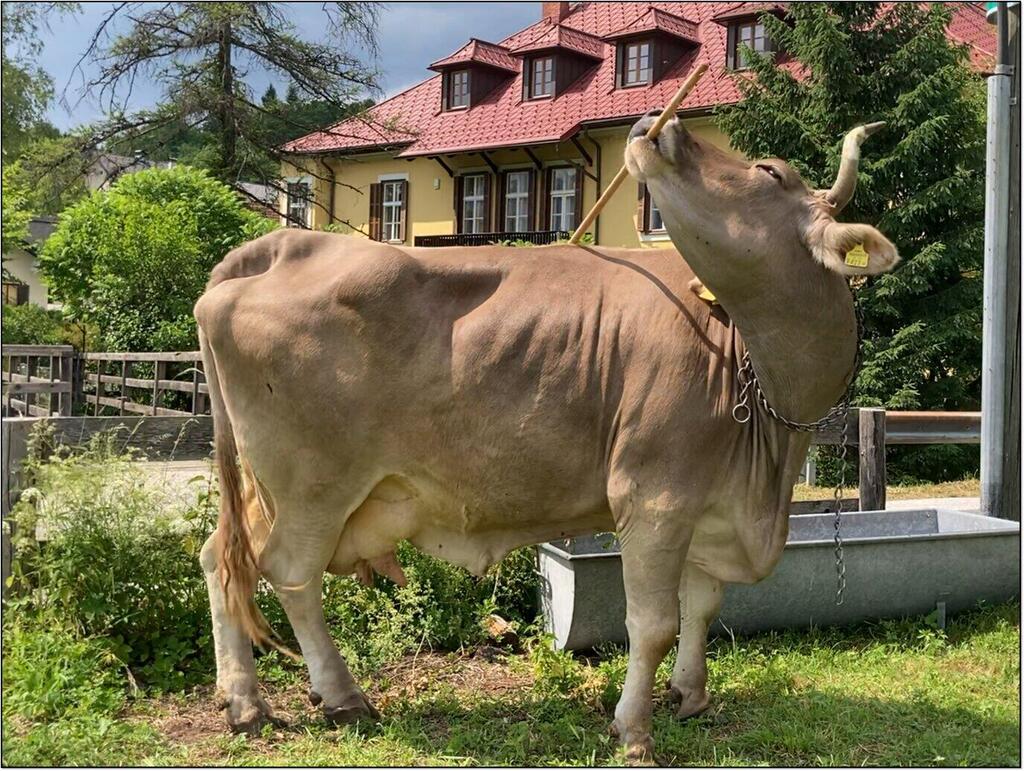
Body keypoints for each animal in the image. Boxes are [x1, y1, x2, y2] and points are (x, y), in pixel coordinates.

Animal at [194, 113, 898, 762]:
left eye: (768, 173)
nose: (658, 124)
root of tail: (285, 245)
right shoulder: (654, 495)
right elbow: (653, 623)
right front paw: (633, 731)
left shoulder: (712, 502)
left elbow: (702, 604)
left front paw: (690, 696)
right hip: (312, 486)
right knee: (289, 575)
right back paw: (340, 696)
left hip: (271, 489)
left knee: (221, 559)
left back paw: (244, 700)